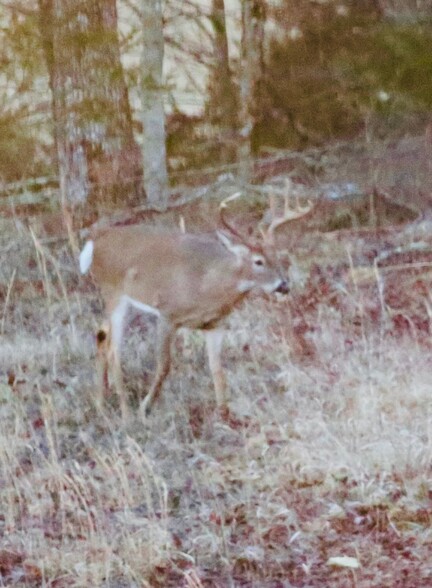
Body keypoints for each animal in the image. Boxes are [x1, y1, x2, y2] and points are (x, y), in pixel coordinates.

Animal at [79, 189, 312, 418]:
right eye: (258, 261)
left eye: (278, 256)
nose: (284, 285)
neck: (207, 286)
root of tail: (97, 237)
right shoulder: (168, 315)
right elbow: (164, 366)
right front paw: (145, 407)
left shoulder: (215, 325)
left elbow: (217, 369)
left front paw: (223, 415)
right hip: (114, 294)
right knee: (113, 351)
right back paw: (127, 416)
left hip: (129, 304)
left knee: (101, 335)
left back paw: (100, 406)